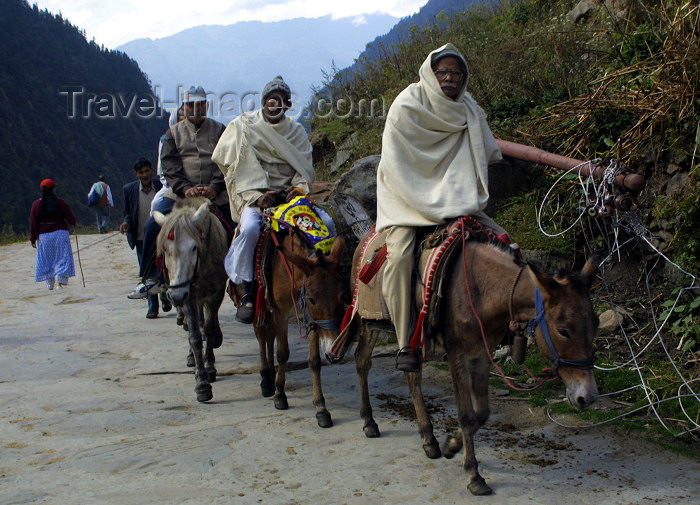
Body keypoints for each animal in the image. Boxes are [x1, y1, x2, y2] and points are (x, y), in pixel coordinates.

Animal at [154, 197, 228, 402]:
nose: (176, 296)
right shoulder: (188, 296)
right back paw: (191, 357)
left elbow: (209, 329)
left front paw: (210, 368)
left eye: (194, 247)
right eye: (165, 248)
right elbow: (194, 336)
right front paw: (202, 383)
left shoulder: (216, 291)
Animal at [254, 226, 348, 428]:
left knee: (269, 336)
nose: (334, 352)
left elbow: (314, 361)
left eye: (342, 295)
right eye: (312, 298)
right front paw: (280, 396)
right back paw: (266, 380)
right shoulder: (280, 313)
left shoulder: (312, 320)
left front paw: (321, 409)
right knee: (261, 334)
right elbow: (282, 354)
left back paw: (270, 377)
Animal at [350, 226, 600, 494]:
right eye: (563, 331)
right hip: (369, 322)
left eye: (595, 324)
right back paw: (369, 422)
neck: (483, 291)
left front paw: (451, 444)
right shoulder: (458, 356)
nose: (587, 397)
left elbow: (482, 412)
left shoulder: (481, 354)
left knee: (411, 377)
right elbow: (467, 415)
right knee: (362, 362)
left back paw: (429, 440)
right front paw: (474, 475)